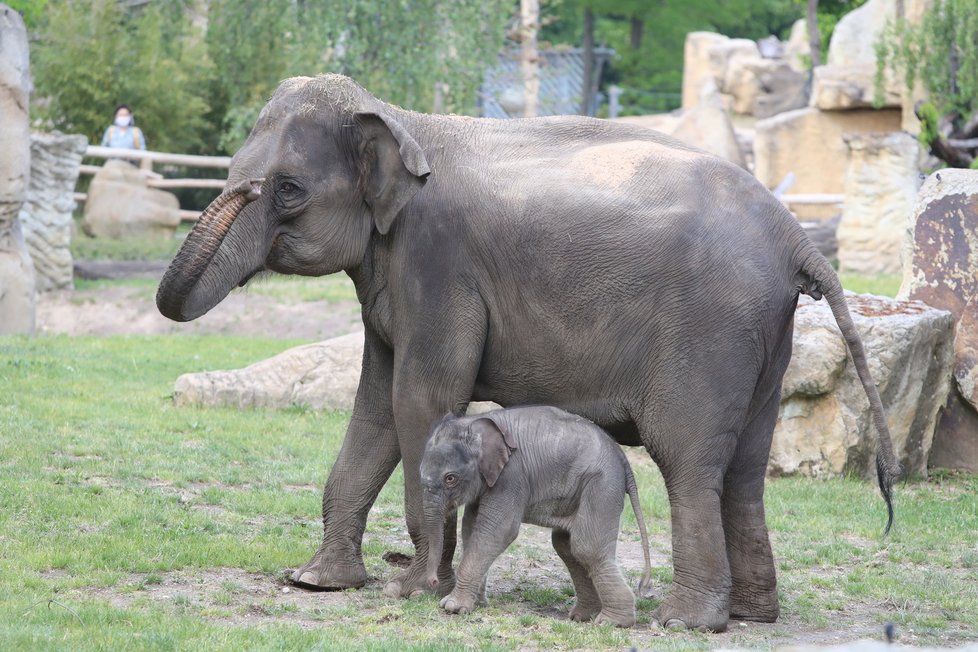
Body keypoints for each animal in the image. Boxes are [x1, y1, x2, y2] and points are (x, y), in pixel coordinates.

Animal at [418, 408, 648, 628]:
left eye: (450, 478)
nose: (433, 582)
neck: (474, 422)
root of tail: (622, 458)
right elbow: (470, 528)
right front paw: (477, 605)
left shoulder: (511, 475)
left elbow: (498, 531)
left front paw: (452, 607)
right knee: (566, 545)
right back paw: (584, 616)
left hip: (602, 485)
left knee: (586, 547)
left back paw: (612, 622)